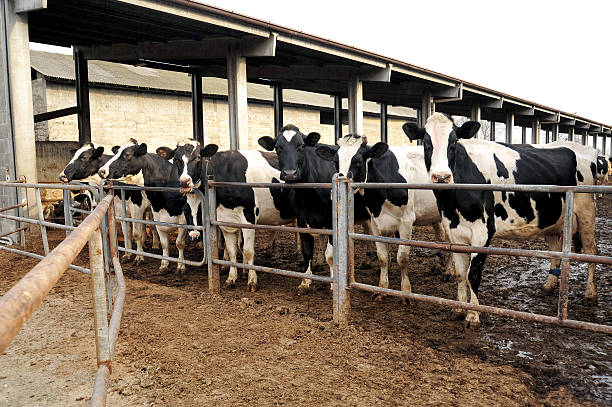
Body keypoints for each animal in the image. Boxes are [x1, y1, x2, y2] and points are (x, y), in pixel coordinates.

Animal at [98, 139, 188, 276]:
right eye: (116, 152)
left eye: (127, 154)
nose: (102, 171)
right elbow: (160, 242)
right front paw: (162, 264)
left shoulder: (183, 220)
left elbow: (179, 243)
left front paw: (180, 266)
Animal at [172, 139, 296, 292]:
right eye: (175, 159)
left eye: (198, 157)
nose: (184, 181)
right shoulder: (225, 220)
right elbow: (232, 250)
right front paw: (231, 279)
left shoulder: (249, 218)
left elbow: (248, 251)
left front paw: (252, 281)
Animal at [404, 113, 596, 330]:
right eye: (426, 143)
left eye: (453, 142)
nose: (441, 177)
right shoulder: (454, 231)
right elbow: (461, 274)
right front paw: (459, 308)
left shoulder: (483, 232)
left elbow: (473, 274)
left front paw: (473, 315)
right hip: (552, 219)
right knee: (556, 251)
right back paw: (549, 285)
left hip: (586, 212)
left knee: (592, 252)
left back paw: (590, 294)